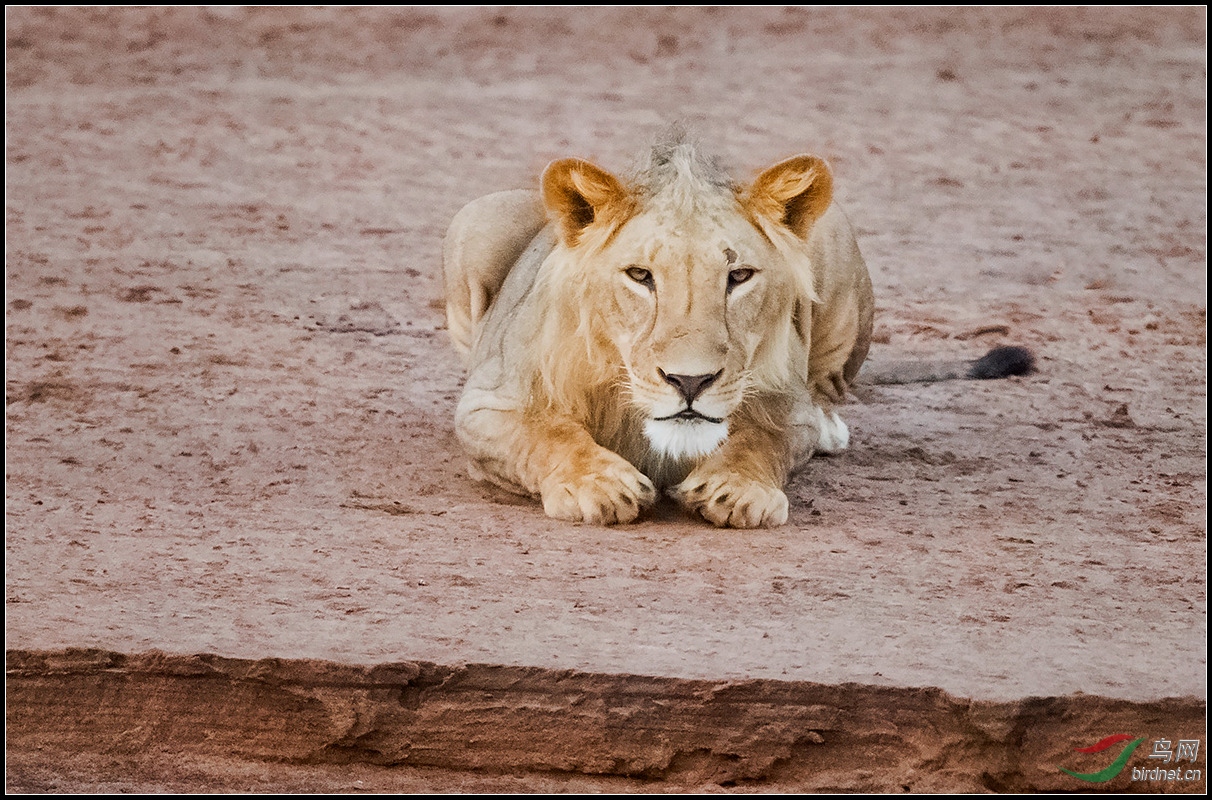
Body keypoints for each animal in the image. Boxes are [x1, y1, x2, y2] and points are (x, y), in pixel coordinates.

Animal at [441, 140, 1027, 528]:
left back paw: (829, 426)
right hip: (477, 217)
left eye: (738, 276)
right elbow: (545, 433)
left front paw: (736, 488)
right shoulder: (487, 403)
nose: (689, 382)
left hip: (832, 231)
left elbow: (763, 438)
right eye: (640, 276)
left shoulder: (787, 410)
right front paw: (599, 484)